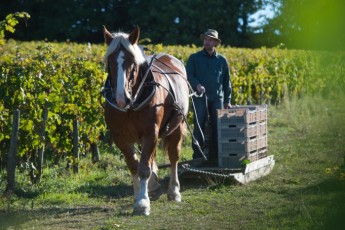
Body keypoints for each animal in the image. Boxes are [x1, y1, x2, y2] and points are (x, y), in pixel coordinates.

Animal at [101, 26, 189, 216]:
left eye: (132, 63)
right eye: (109, 62)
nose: (121, 99)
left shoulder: (151, 133)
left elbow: (143, 168)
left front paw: (142, 203)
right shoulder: (120, 137)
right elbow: (134, 165)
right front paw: (140, 196)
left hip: (177, 126)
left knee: (174, 156)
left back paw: (174, 191)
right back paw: (153, 186)